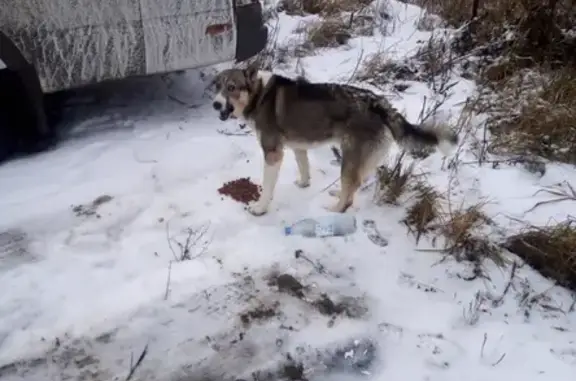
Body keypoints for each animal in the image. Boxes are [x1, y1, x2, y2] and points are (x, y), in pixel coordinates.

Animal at [212, 67, 460, 215]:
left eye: (231, 88)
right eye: (217, 86)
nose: (215, 104)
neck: (258, 95)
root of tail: (378, 103)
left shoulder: (272, 153)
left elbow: (267, 187)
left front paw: (260, 207)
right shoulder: (299, 147)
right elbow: (304, 168)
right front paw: (304, 184)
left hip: (349, 158)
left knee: (349, 195)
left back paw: (333, 210)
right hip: (363, 159)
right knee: (355, 184)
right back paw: (339, 194)